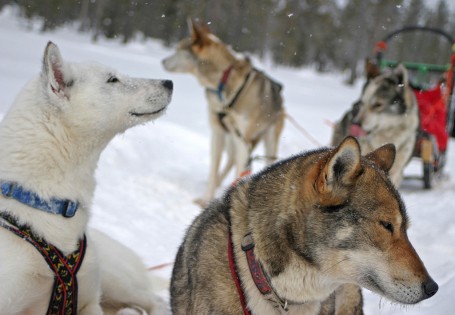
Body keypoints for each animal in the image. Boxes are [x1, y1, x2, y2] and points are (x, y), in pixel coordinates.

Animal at [163, 19, 284, 207]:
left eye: (178, 49)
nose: (162, 61)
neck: (223, 82)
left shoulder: (243, 140)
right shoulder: (218, 133)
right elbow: (214, 169)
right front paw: (205, 199)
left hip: (267, 140)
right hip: (230, 139)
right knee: (230, 160)